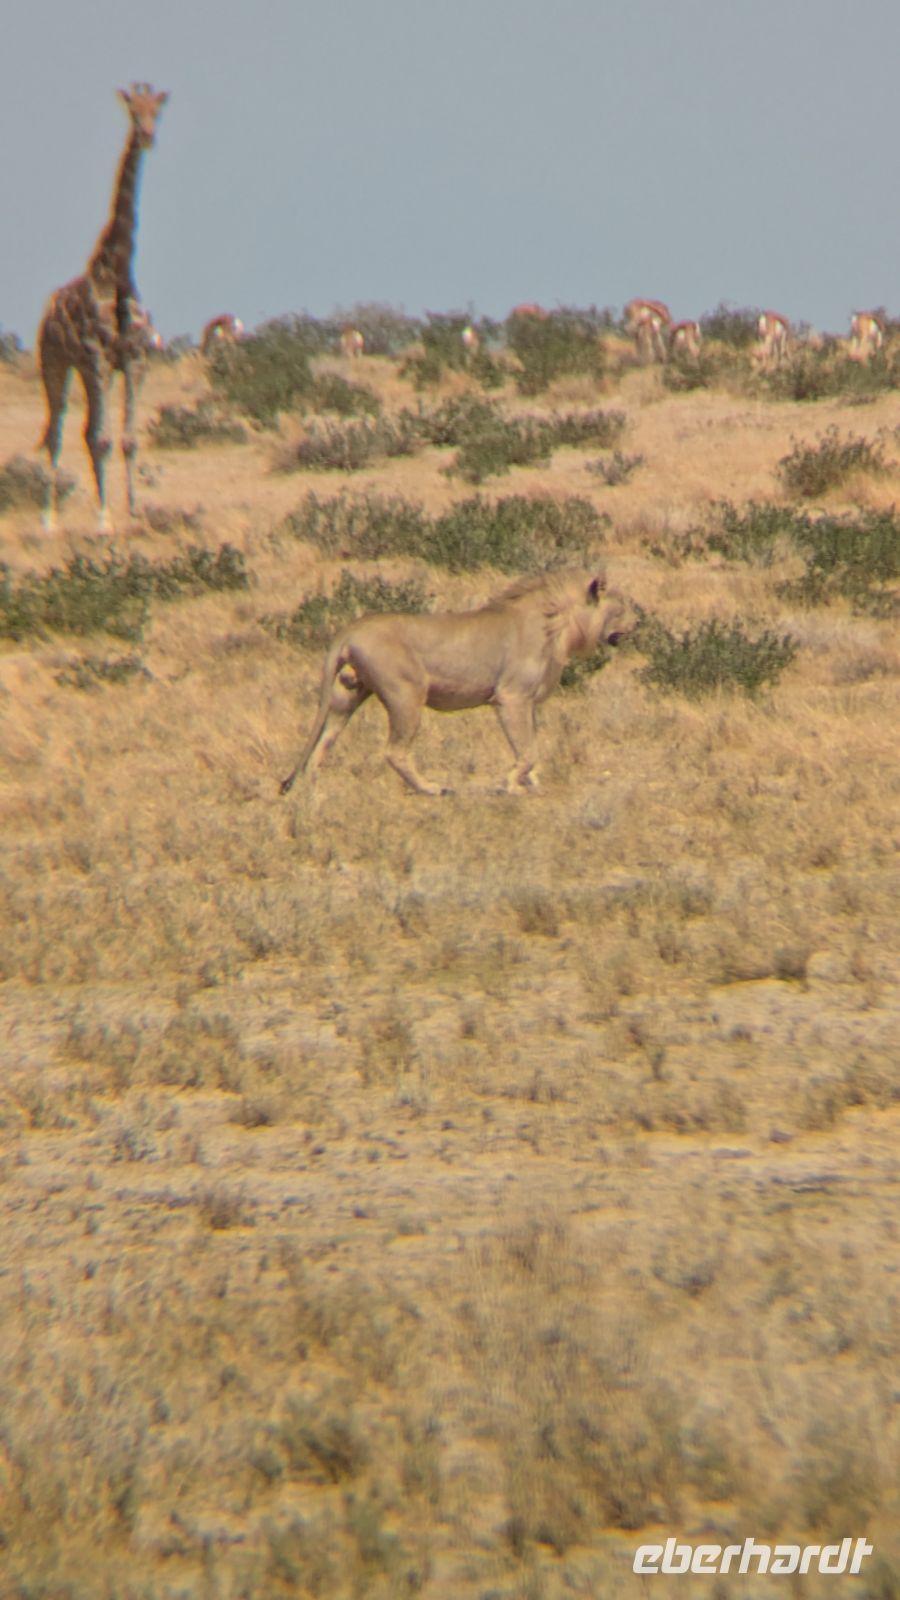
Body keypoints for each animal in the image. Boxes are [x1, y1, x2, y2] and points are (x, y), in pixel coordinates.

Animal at [37, 83, 168, 532]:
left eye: (158, 110)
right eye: (131, 108)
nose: (147, 136)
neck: (116, 273)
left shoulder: (133, 359)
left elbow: (127, 439)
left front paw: (133, 512)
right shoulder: (94, 355)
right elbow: (103, 439)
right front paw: (103, 520)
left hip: (99, 372)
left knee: (81, 430)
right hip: (56, 362)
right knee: (57, 430)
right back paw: (48, 520)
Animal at [279, 570, 629, 797]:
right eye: (622, 608)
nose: (636, 624)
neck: (558, 626)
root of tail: (350, 629)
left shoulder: (527, 701)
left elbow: (530, 745)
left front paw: (531, 782)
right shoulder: (511, 697)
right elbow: (527, 750)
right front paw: (510, 784)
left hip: (347, 694)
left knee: (324, 741)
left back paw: (312, 789)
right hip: (407, 694)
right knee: (394, 752)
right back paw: (432, 788)